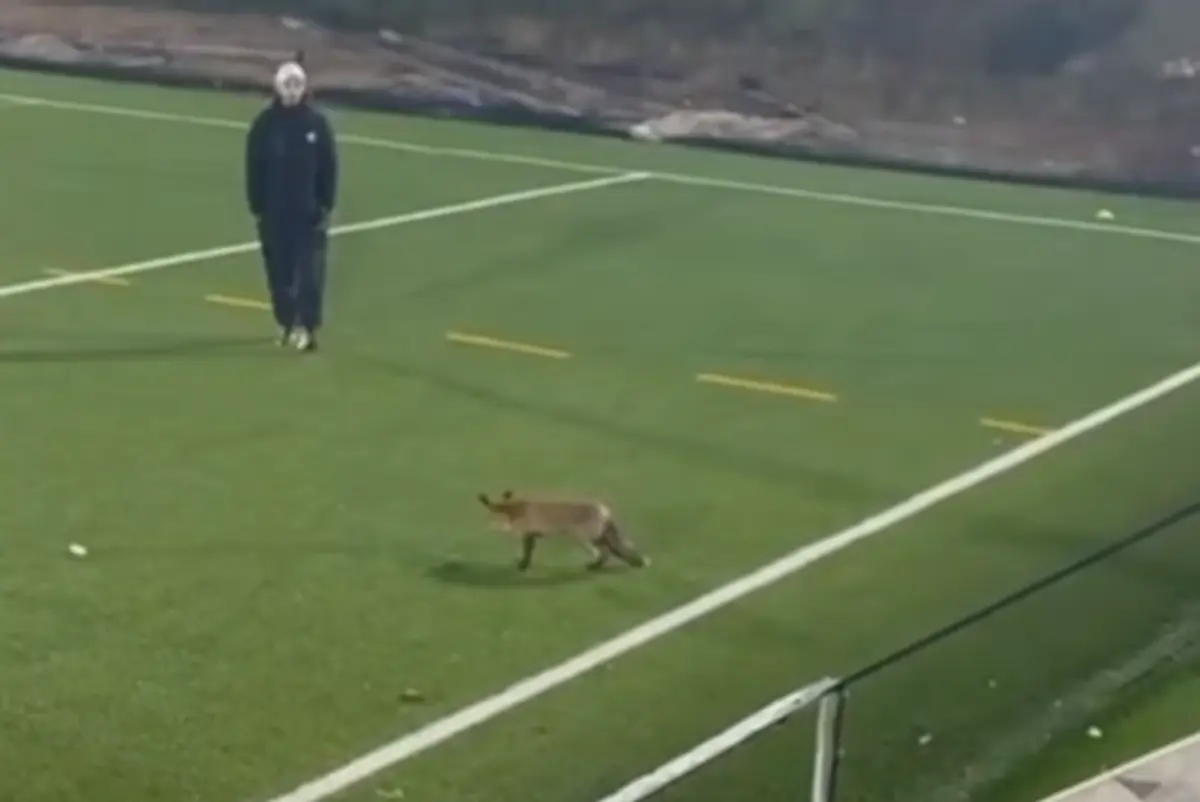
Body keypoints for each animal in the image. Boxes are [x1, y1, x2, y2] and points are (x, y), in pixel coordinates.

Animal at [477, 490, 649, 572]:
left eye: (489, 515)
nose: (486, 521)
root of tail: (605, 510)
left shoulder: (525, 531)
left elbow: (525, 550)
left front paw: (522, 566)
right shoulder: (531, 534)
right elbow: (528, 552)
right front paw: (523, 565)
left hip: (584, 538)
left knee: (603, 553)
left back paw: (594, 565)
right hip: (595, 537)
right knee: (612, 551)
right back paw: (596, 567)